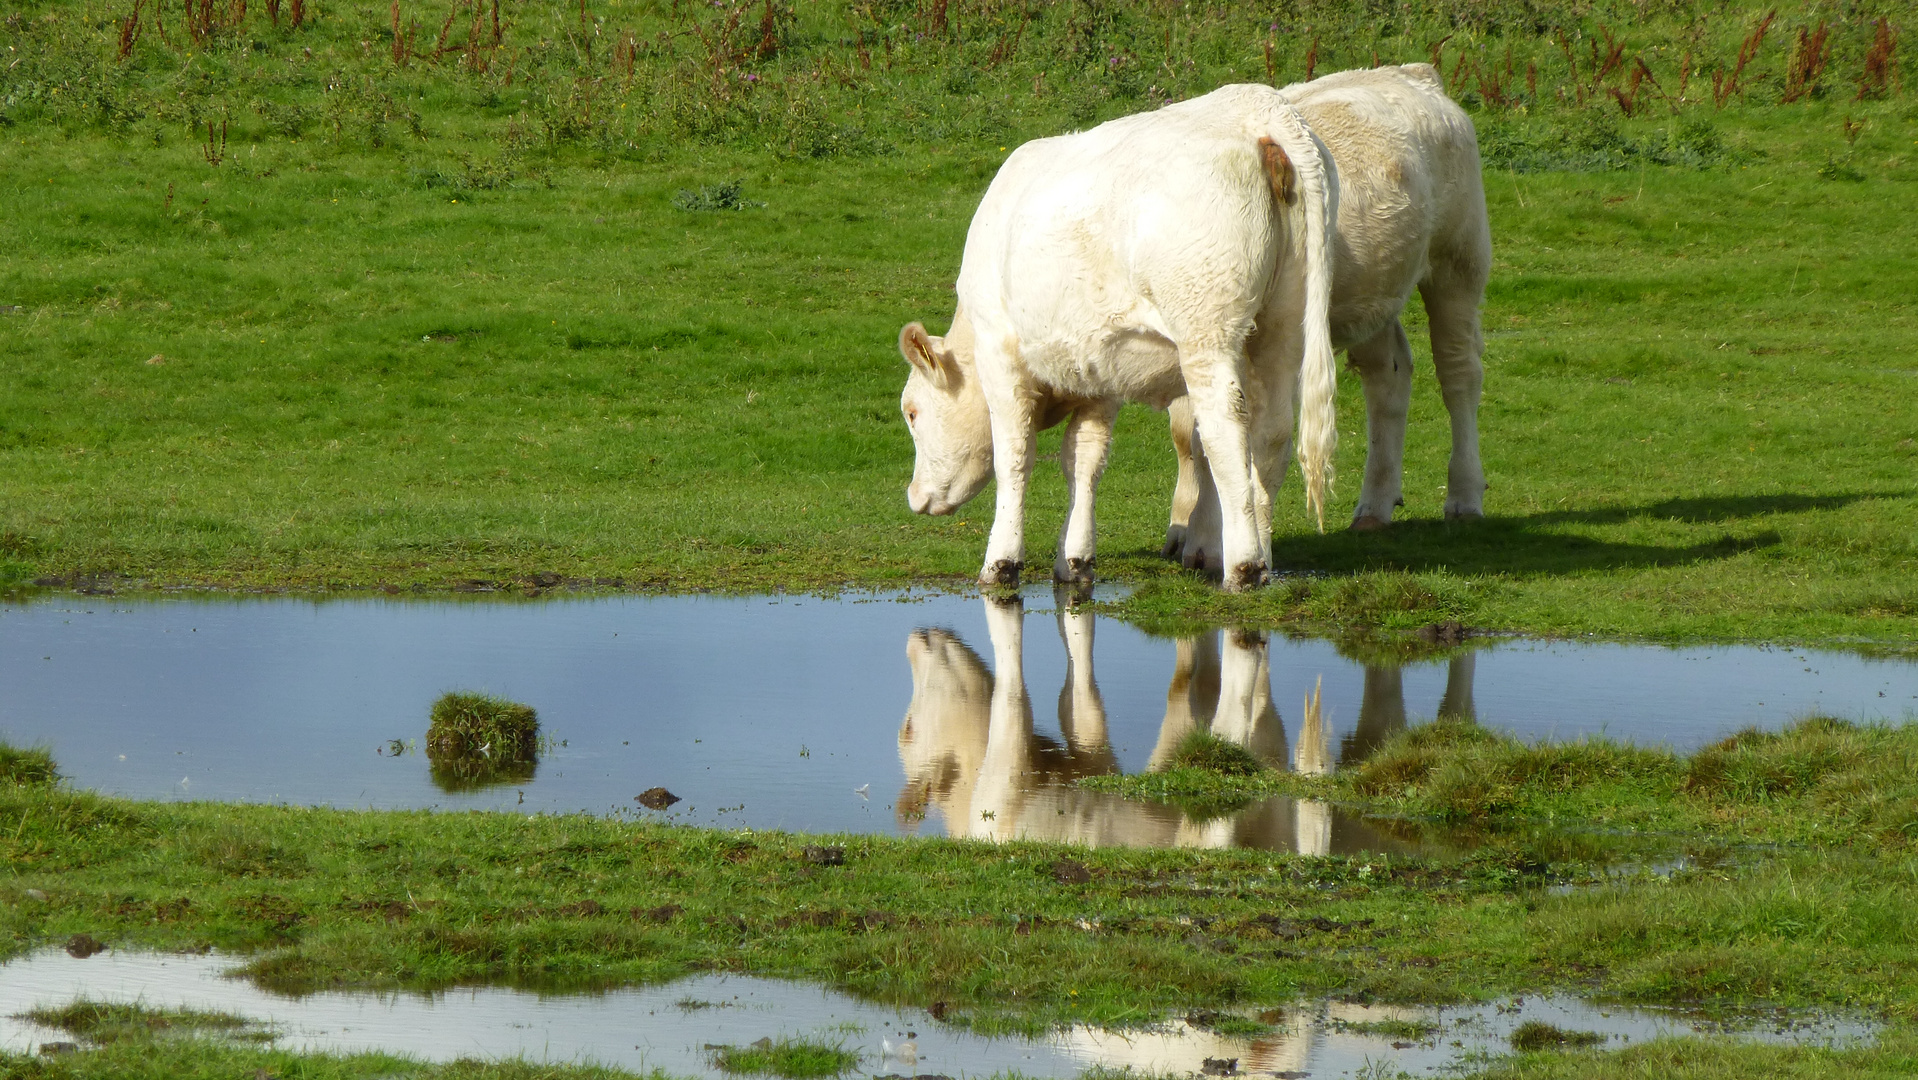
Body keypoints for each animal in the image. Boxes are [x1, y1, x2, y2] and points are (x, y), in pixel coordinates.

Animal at [897, 82, 1334, 590]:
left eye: (912, 412)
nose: (914, 496)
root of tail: (1263, 111)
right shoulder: (1097, 374)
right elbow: (1083, 461)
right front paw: (1074, 560)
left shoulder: (1000, 355)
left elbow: (1014, 457)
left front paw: (1001, 562)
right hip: (1283, 328)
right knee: (1272, 434)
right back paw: (1262, 557)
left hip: (1207, 331)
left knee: (1225, 430)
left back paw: (1243, 565)